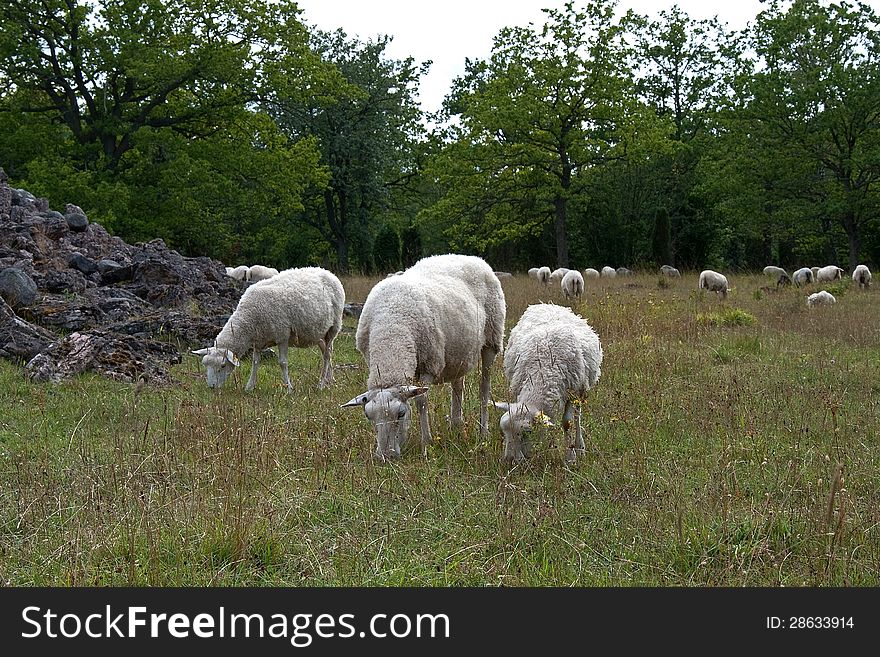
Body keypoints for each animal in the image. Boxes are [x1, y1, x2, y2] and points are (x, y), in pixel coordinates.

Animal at [192, 266, 344, 390]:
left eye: (223, 366)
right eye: (206, 365)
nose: (212, 387)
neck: (249, 318)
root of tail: (328, 272)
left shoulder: (282, 336)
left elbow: (283, 363)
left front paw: (289, 388)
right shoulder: (259, 341)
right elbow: (255, 363)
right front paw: (249, 386)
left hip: (333, 328)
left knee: (327, 355)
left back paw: (321, 384)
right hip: (318, 333)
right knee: (326, 352)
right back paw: (330, 380)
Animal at [342, 254, 506, 458]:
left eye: (401, 414)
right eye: (368, 416)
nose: (386, 456)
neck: (391, 330)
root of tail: (471, 257)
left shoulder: (430, 364)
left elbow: (421, 401)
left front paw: (426, 443)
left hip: (492, 339)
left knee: (484, 388)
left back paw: (483, 431)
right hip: (459, 352)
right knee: (458, 386)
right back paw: (456, 425)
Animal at [492, 302, 600, 462]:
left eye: (528, 432)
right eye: (504, 431)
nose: (509, 460)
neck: (543, 371)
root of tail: (548, 304)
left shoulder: (571, 392)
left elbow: (567, 423)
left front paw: (570, 458)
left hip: (581, 389)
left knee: (577, 417)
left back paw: (580, 447)